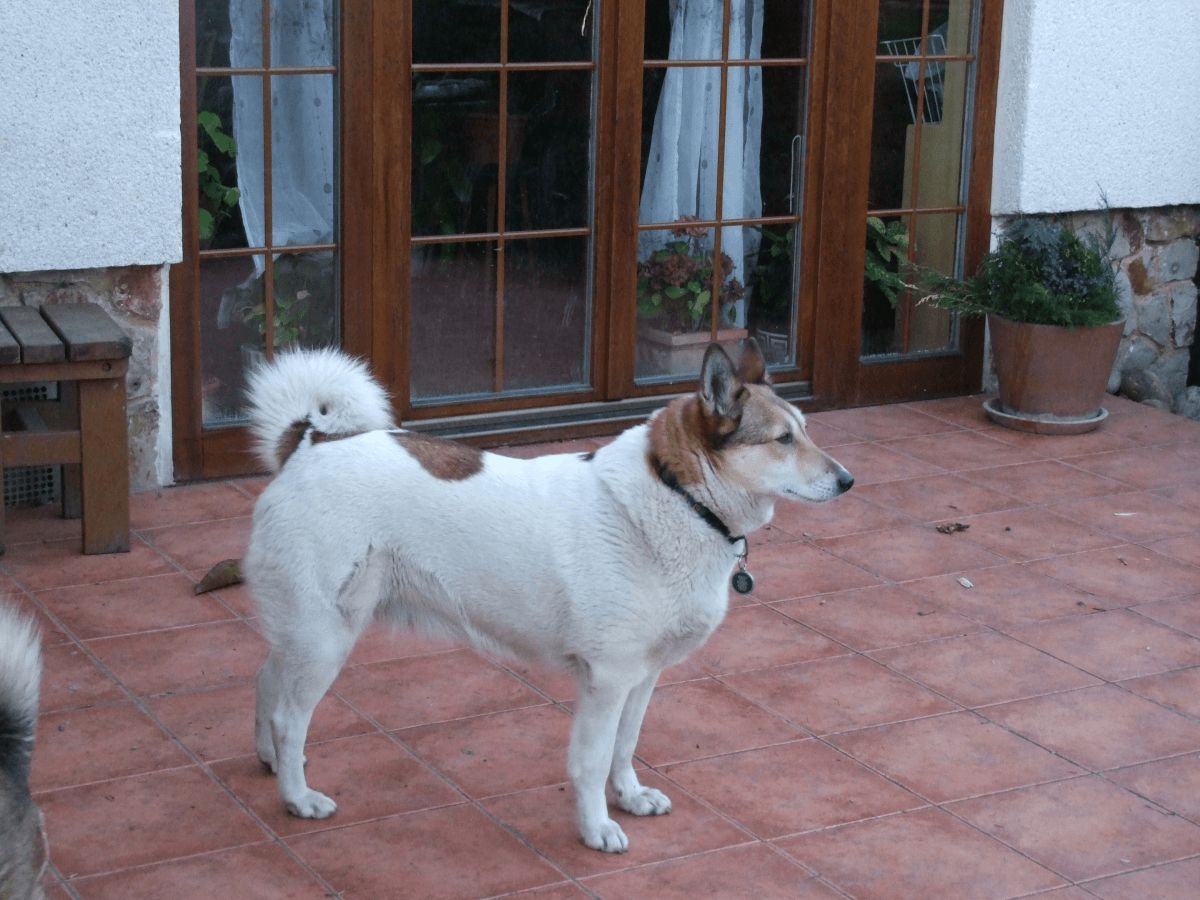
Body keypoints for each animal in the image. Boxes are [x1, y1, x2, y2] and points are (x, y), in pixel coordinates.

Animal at [244, 339, 853, 853]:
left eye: (805, 430)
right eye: (782, 440)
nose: (848, 481)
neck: (679, 495)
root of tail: (309, 444)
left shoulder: (642, 677)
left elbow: (626, 745)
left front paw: (630, 796)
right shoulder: (607, 680)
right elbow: (592, 761)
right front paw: (596, 827)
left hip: (307, 630)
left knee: (268, 683)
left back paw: (271, 762)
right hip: (326, 635)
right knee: (289, 716)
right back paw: (297, 796)